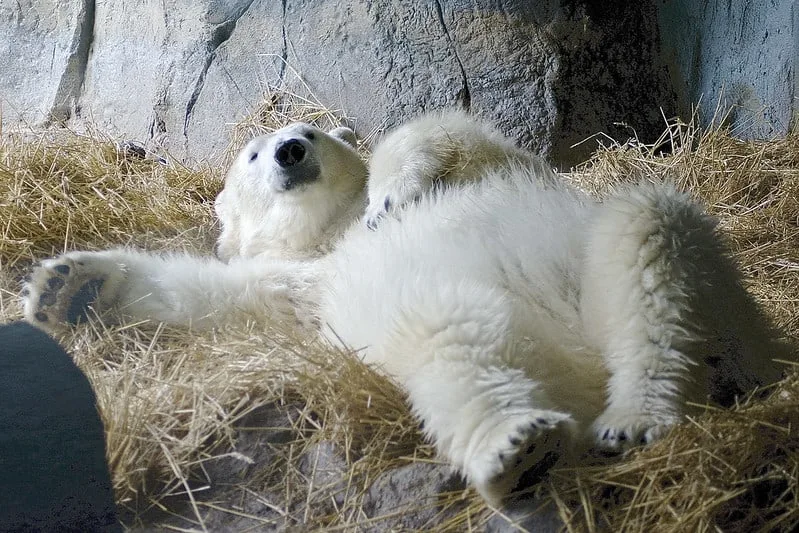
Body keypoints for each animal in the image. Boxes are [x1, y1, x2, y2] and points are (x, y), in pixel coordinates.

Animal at [21, 110, 792, 504]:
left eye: (310, 127)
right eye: (249, 155)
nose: (289, 149)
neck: (331, 233)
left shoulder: (505, 169)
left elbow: (448, 137)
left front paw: (393, 192)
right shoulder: (301, 289)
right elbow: (216, 300)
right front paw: (67, 287)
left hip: (653, 272)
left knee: (649, 238)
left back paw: (636, 415)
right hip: (457, 333)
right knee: (449, 342)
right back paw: (518, 445)